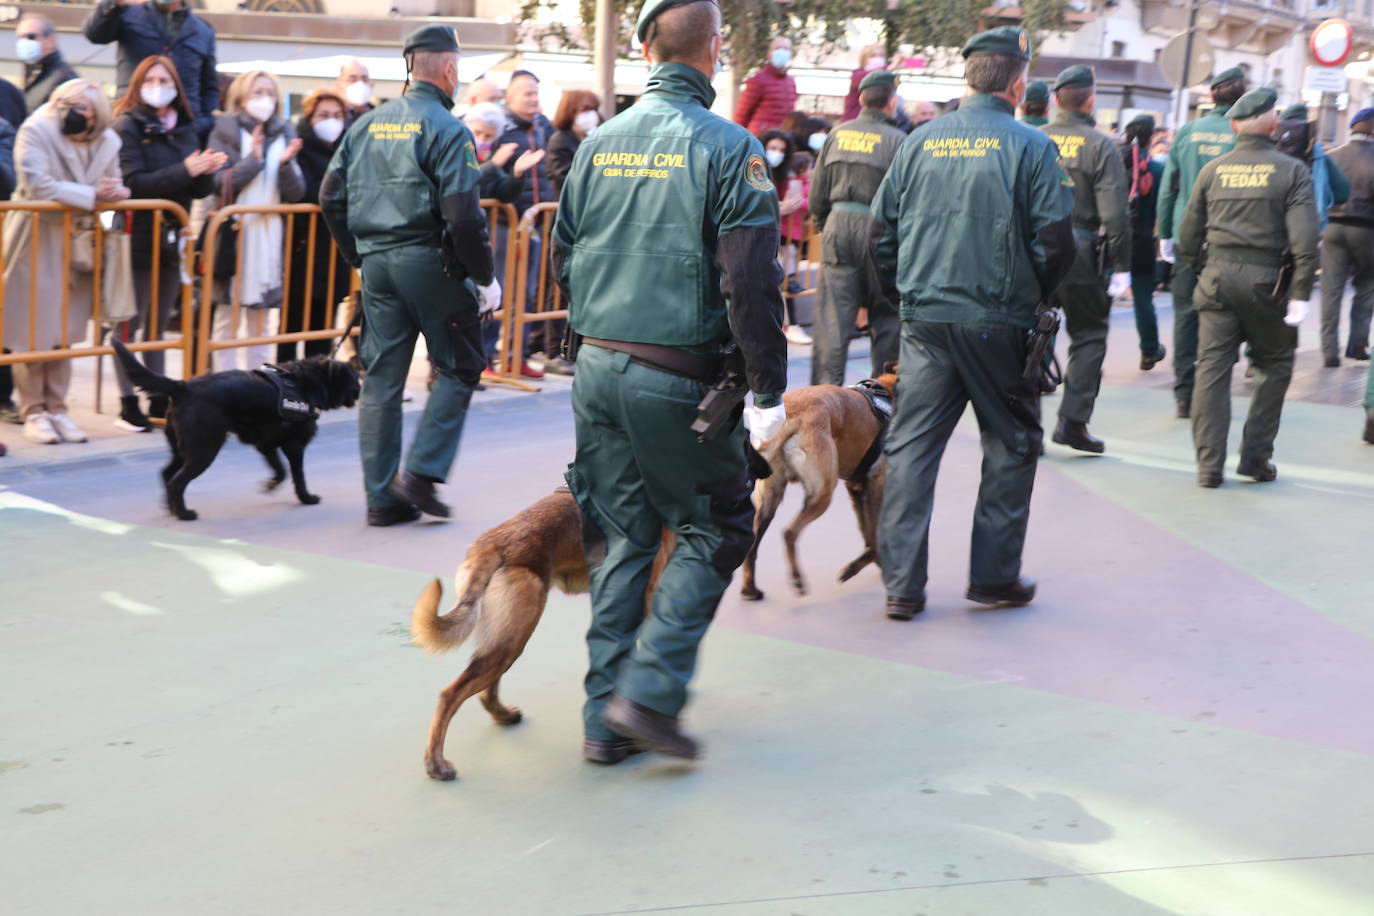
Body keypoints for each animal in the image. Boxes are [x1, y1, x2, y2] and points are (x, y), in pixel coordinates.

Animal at [111, 339, 357, 521]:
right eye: (355, 379)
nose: (361, 388)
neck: (309, 381)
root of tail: (183, 387)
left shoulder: (265, 444)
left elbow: (280, 470)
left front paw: (271, 484)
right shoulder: (294, 446)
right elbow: (297, 475)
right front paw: (306, 498)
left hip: (184, 449)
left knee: (166, 473)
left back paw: (171, 508)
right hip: (204, 450)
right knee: (177, 482)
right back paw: (184, 514)